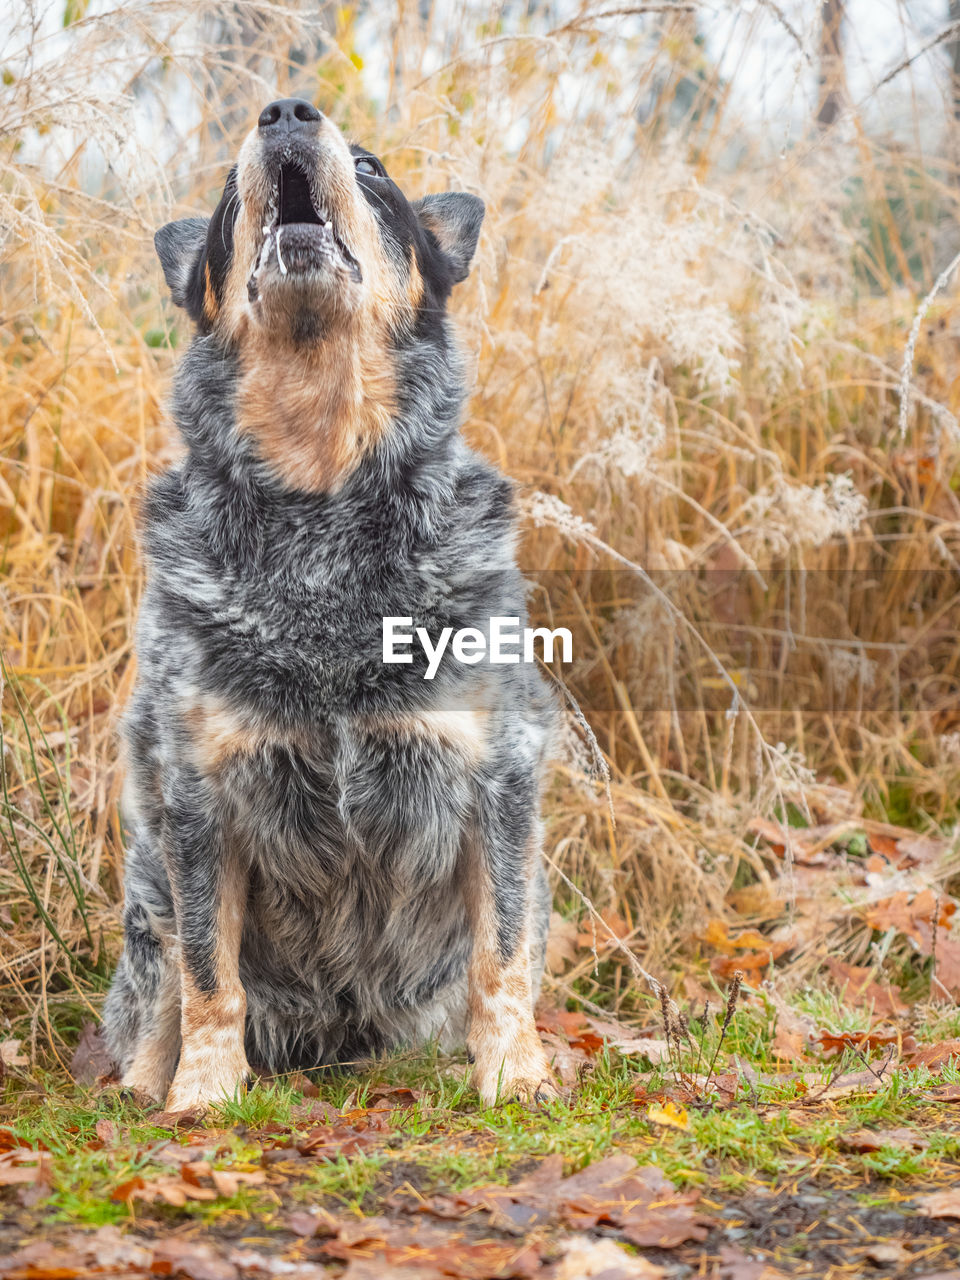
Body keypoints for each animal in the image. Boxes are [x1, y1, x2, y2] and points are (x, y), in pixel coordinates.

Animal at [101, 97, 560, 1111]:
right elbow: (208, 976)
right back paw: (143, 1087)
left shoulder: (498, 779)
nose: (284, 111)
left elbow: (501, 956)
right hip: (147, 880)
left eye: (373, 166)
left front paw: (516, 1075)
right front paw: (204, 1093)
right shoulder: (198, 799)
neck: (321, 499)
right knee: (157, 987)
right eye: (227, 190)